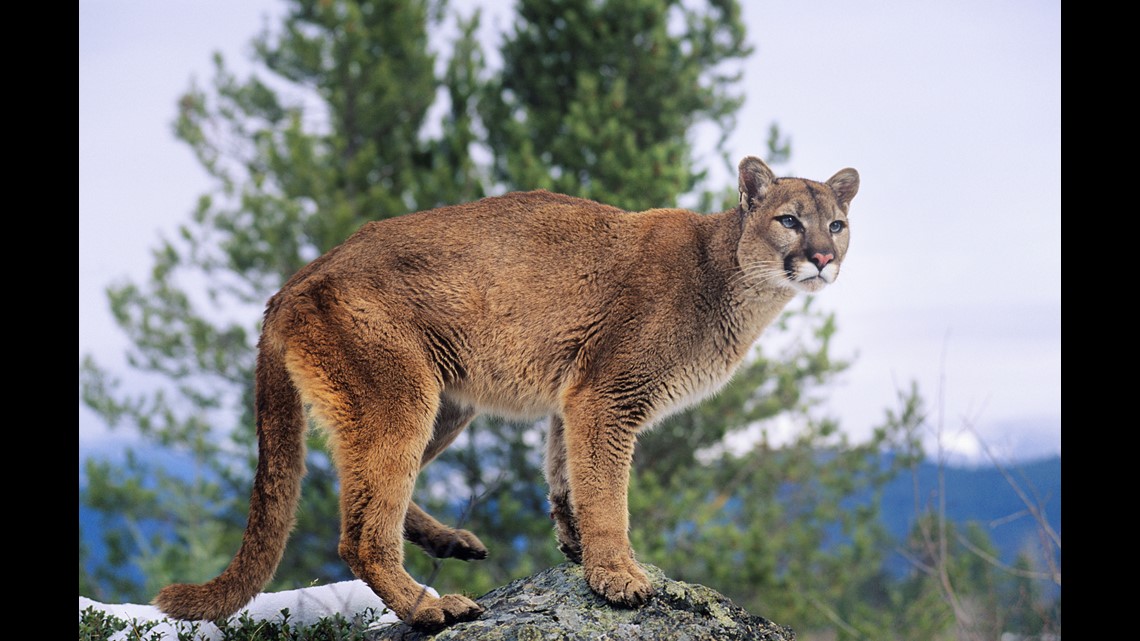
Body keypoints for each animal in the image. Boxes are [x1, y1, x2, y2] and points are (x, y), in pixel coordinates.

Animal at [156, 156, 857, 629]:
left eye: (838, 224)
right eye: (789, 220)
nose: (823, 258)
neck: (735, 280)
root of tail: (295, 280)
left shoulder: (575, 397)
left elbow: (566, 475)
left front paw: (577, 550)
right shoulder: (609, 395)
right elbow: (607, 492)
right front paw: (619, 576)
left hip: (443, 402)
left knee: (354, 488)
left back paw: (450, 543)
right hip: (401, 397)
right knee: (359, 531)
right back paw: (428, 607)